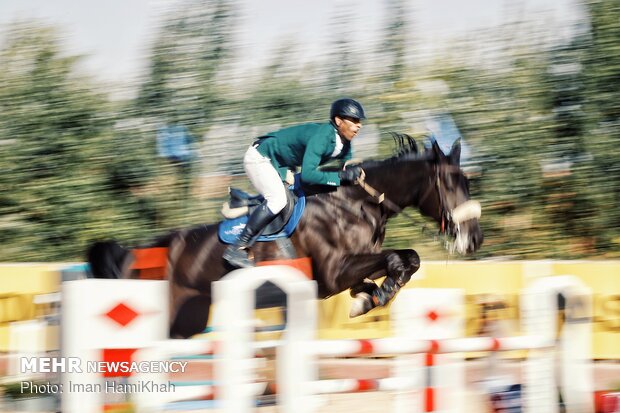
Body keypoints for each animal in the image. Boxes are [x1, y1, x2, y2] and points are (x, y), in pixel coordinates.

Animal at [87, 137, 484, 336]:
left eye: (467, 181)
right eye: (449, 183)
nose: (474, 238)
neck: (357, 203)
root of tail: (135, 253)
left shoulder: (352, 267)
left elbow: (403, 260)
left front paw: (369, 297)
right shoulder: (333, 272)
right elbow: (399, 258)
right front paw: (377, 295)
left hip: (190, 318)